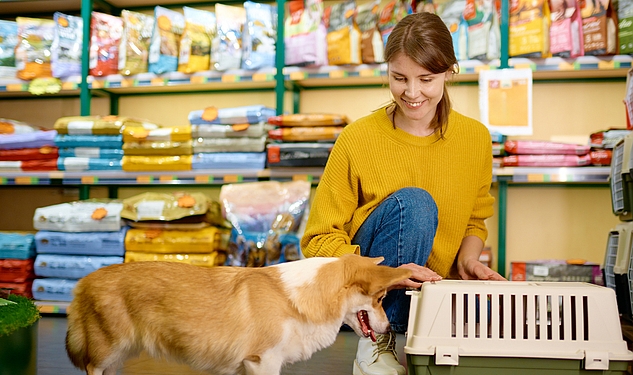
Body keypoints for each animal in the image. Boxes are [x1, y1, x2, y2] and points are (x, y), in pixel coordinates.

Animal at [64, 254, 410, 374]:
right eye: (381, 298)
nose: (389, 327)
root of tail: (82, 282)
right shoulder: (262, 361)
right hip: (106, 354)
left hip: (118, 357)